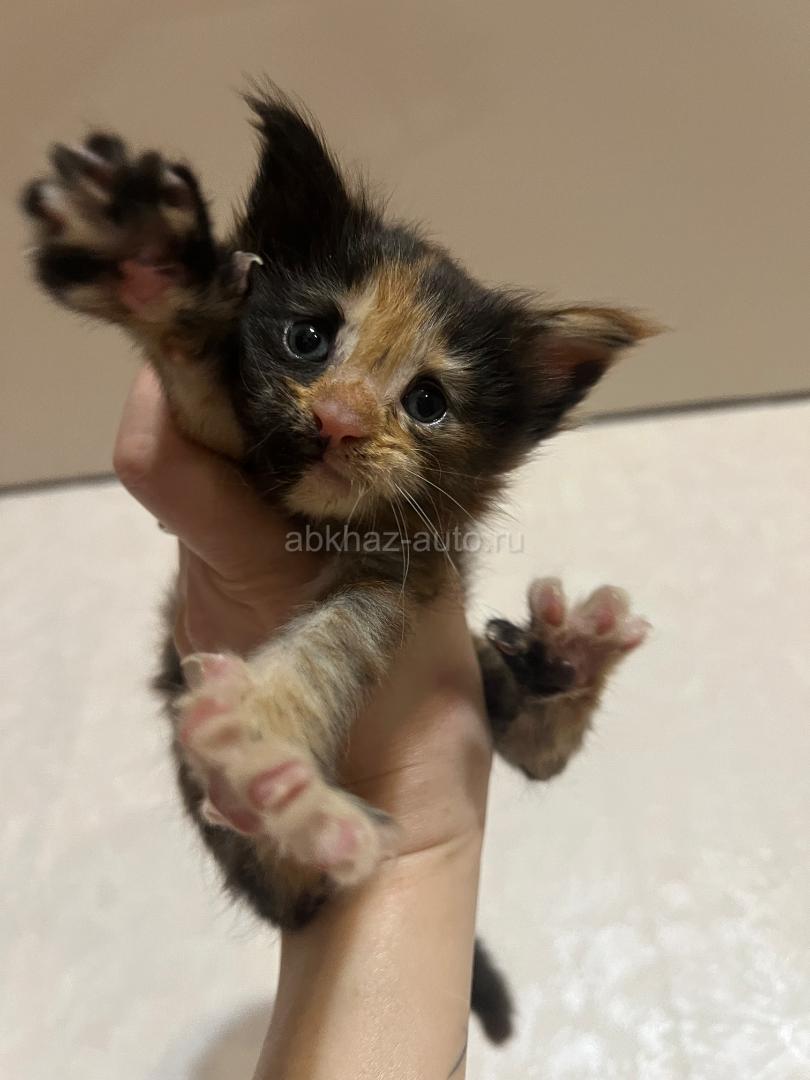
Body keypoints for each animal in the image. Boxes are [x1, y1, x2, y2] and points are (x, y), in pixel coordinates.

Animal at [21, 87, 652, 1043]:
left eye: (427, 402)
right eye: (307, 338)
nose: (341, 420)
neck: (322, 526)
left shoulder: (407, 568)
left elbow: (337, 640)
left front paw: (258, 731)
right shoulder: (232, 451)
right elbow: (203, 387)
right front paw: (150, 266)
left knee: (531, 752)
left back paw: (564, 659)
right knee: (292, 886)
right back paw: (294, 802)